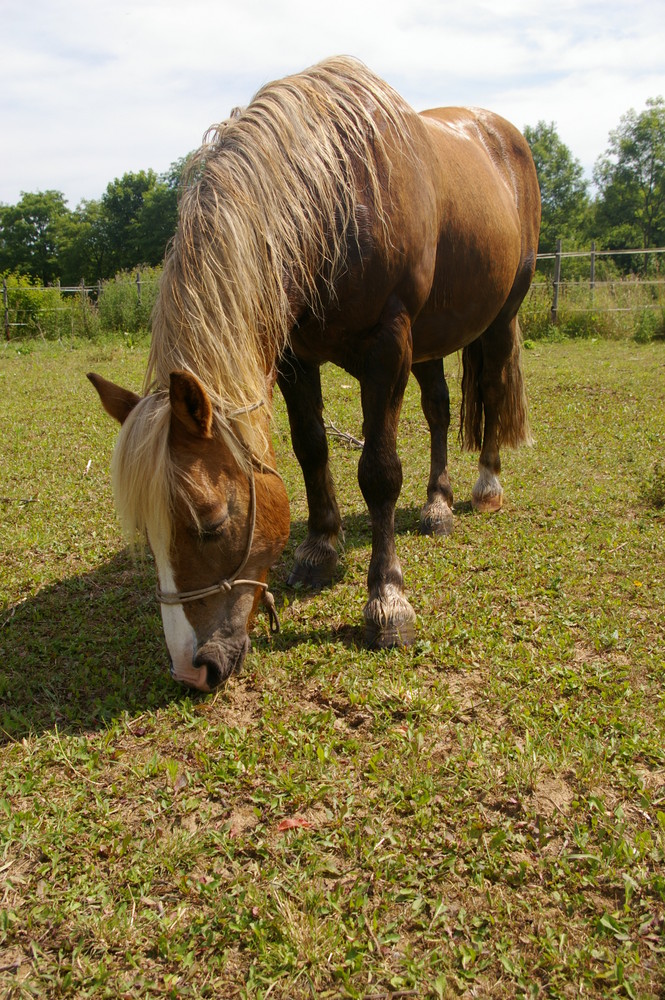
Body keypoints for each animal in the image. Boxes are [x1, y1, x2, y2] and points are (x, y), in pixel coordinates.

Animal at [87, 58, 540, 692]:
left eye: (212, 522)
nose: (191, 669)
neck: (337, 196)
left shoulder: (387, 345)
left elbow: (378, 471)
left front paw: (386, 602)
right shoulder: (296, 357)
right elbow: (310, 449)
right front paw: (321, 549)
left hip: (497, 320)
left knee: (493, 395)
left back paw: (485, 487)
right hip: (428, 341)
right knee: (439, 410)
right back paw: (437, 504)